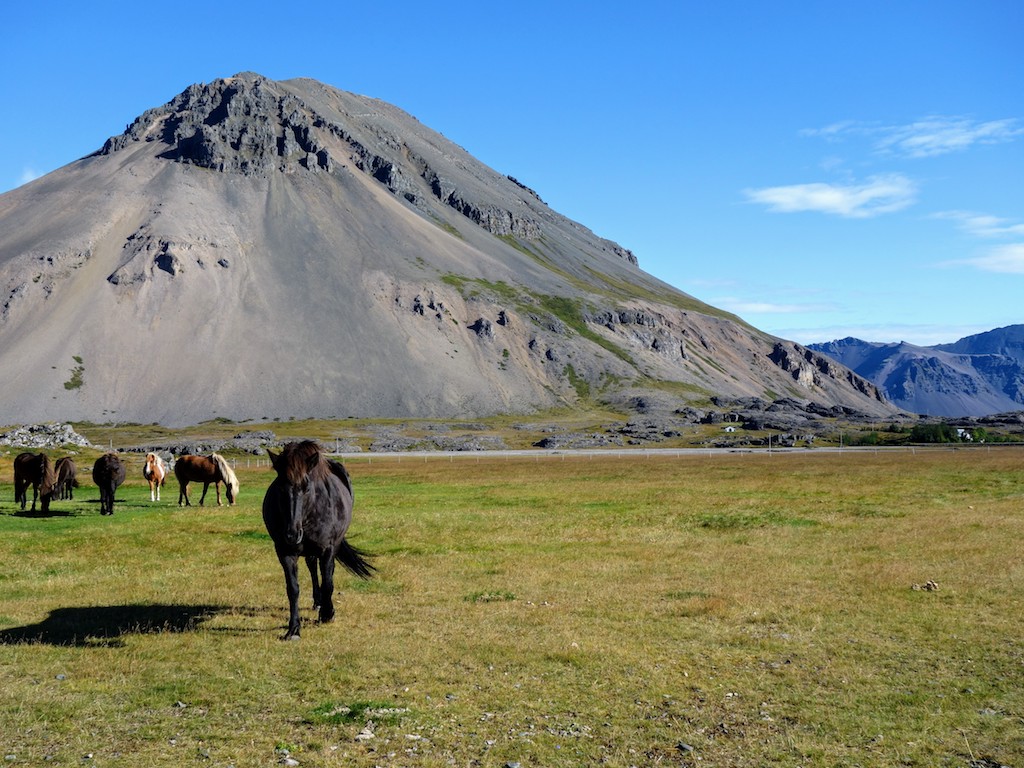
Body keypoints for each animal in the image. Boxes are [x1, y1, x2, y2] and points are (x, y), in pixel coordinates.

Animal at [262, 442, 374, 638]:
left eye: (306, 487)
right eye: (280, 487)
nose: (292, 534)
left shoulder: (327, 549)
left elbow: (328, 582)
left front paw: (328, 614)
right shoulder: (284, 552)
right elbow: (293, 588)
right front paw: (293, 629)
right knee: (312, 567)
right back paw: (318, 601)